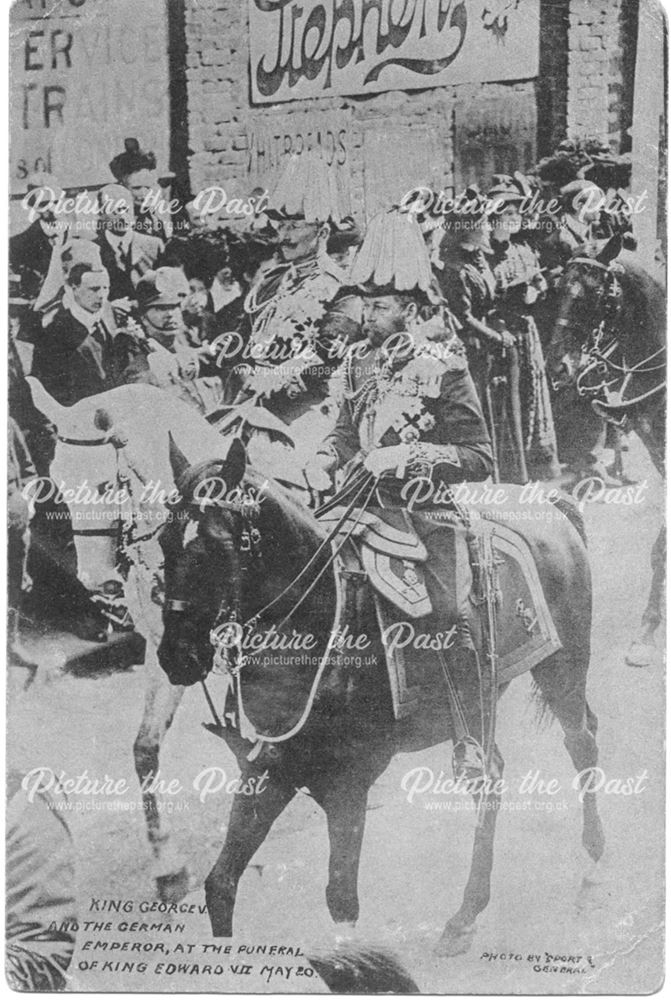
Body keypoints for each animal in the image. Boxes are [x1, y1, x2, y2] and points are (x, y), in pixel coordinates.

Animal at [159, 442, 608, 956]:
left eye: (216, 547)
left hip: (562, 666)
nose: (176, 656)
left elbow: (341, 901)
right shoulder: (269, 770)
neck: (317, 617)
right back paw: (466, 914)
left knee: (580, 743)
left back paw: (593, 868)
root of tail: (546, 500)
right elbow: (220, 884)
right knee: (490, 776)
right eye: (164, 543)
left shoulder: (347, 783)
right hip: (477, 701)